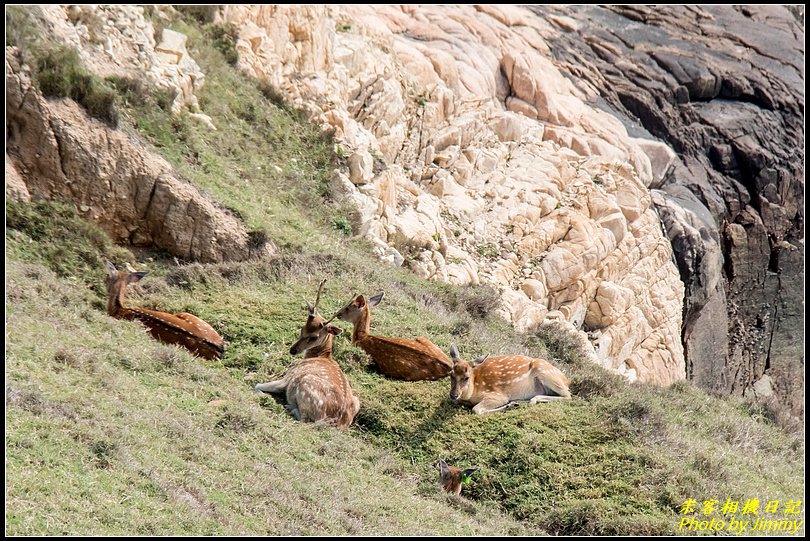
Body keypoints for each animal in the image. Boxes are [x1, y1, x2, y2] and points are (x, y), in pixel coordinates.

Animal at [256, 280, 360, 428]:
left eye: (314, 337)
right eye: (302, 327)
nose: (293, 350)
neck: (321, 356)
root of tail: (336, 422)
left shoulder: (288, 377)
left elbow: (257, 385)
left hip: (306, 385)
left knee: (305, 420)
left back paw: (289, 407)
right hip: (357, 401)